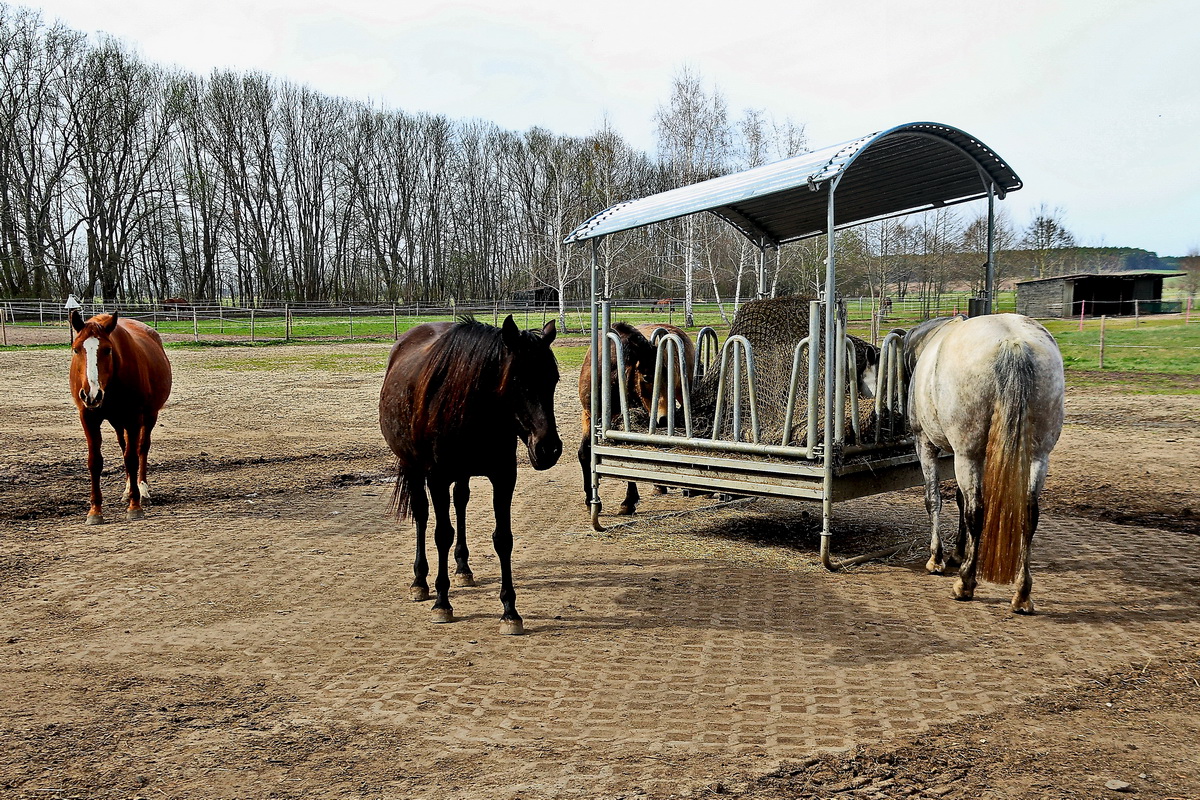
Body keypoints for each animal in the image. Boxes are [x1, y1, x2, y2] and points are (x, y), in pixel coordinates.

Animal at [69, 309, 174, 525]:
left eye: (107, 350)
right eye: (76, 349)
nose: (91, 394)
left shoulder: (134, 417)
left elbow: (132, 459)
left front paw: (135, 506)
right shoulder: (88, 417)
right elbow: (95, 461)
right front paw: (95, 511)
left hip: (149, 416)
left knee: (141, 449)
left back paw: (142, 490)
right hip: (118, 423)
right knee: (124, 445)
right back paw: (127, 490)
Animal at [379, 316, 561, 633]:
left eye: (553, 380)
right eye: (517, 380)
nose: (548, 448)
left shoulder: (504, 476)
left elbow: (503, 538)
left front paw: (510, 611)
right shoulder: (437, 478)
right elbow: (442, 534)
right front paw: (442, 603)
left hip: (461, 474)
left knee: (461, 502)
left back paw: (463, 568)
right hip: (413, 467)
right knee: (421, 515)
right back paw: (420, 582)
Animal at [578, 321, 700, 515]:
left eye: (667, 375)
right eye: (647, 377)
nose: (664, 418)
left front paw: (628, 502)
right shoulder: (588, 414)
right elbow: (584, 453)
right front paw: (591, 501)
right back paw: (659, 487)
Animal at [902, 311, 1065, 614]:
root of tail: (1014, 343)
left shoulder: (928, 445)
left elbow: (935, 500)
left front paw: (937, 558)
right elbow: (958, 499)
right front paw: (958, 552)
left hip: (968, 455)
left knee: (977, 511)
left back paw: (965, 583)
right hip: (1038, 457)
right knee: (1029, 514)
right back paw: (1022, 594)